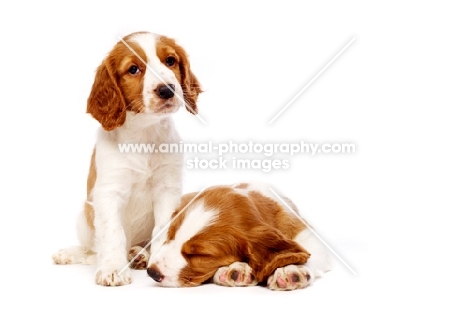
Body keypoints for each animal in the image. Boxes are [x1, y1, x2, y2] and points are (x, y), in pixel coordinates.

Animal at [52, 32, 201, 288]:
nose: (167, 90)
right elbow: (113, 234)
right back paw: (71, 253)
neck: (144, 134)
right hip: (84, 216)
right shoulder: (109, 192)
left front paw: (157, 261)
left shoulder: (167, 190)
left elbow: (162, 229)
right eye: (133, 69)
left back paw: (139, 254)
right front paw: (112, 269)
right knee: (91, 250)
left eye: (170, 61)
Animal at [141, 184, 330, 292]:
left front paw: (289, 269)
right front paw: (235, 269)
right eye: (170, 235)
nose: (152, 272)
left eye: (200, 255)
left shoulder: (303, 230)